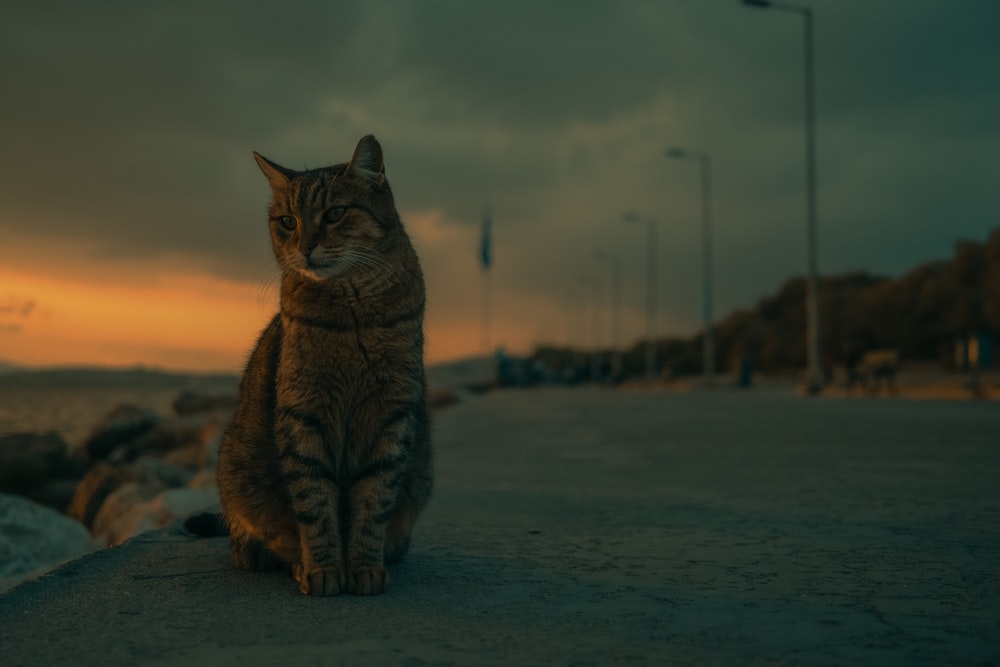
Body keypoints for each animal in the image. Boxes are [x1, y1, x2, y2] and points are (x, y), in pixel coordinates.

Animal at [221, 134, 432, 596]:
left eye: (334, 213)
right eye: (287, 221)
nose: (305, 247)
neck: (352, 313)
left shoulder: (392, 412)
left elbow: (374, 498)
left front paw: (365, 566)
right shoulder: (303, 412)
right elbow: (315, 501)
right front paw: (322, 568)